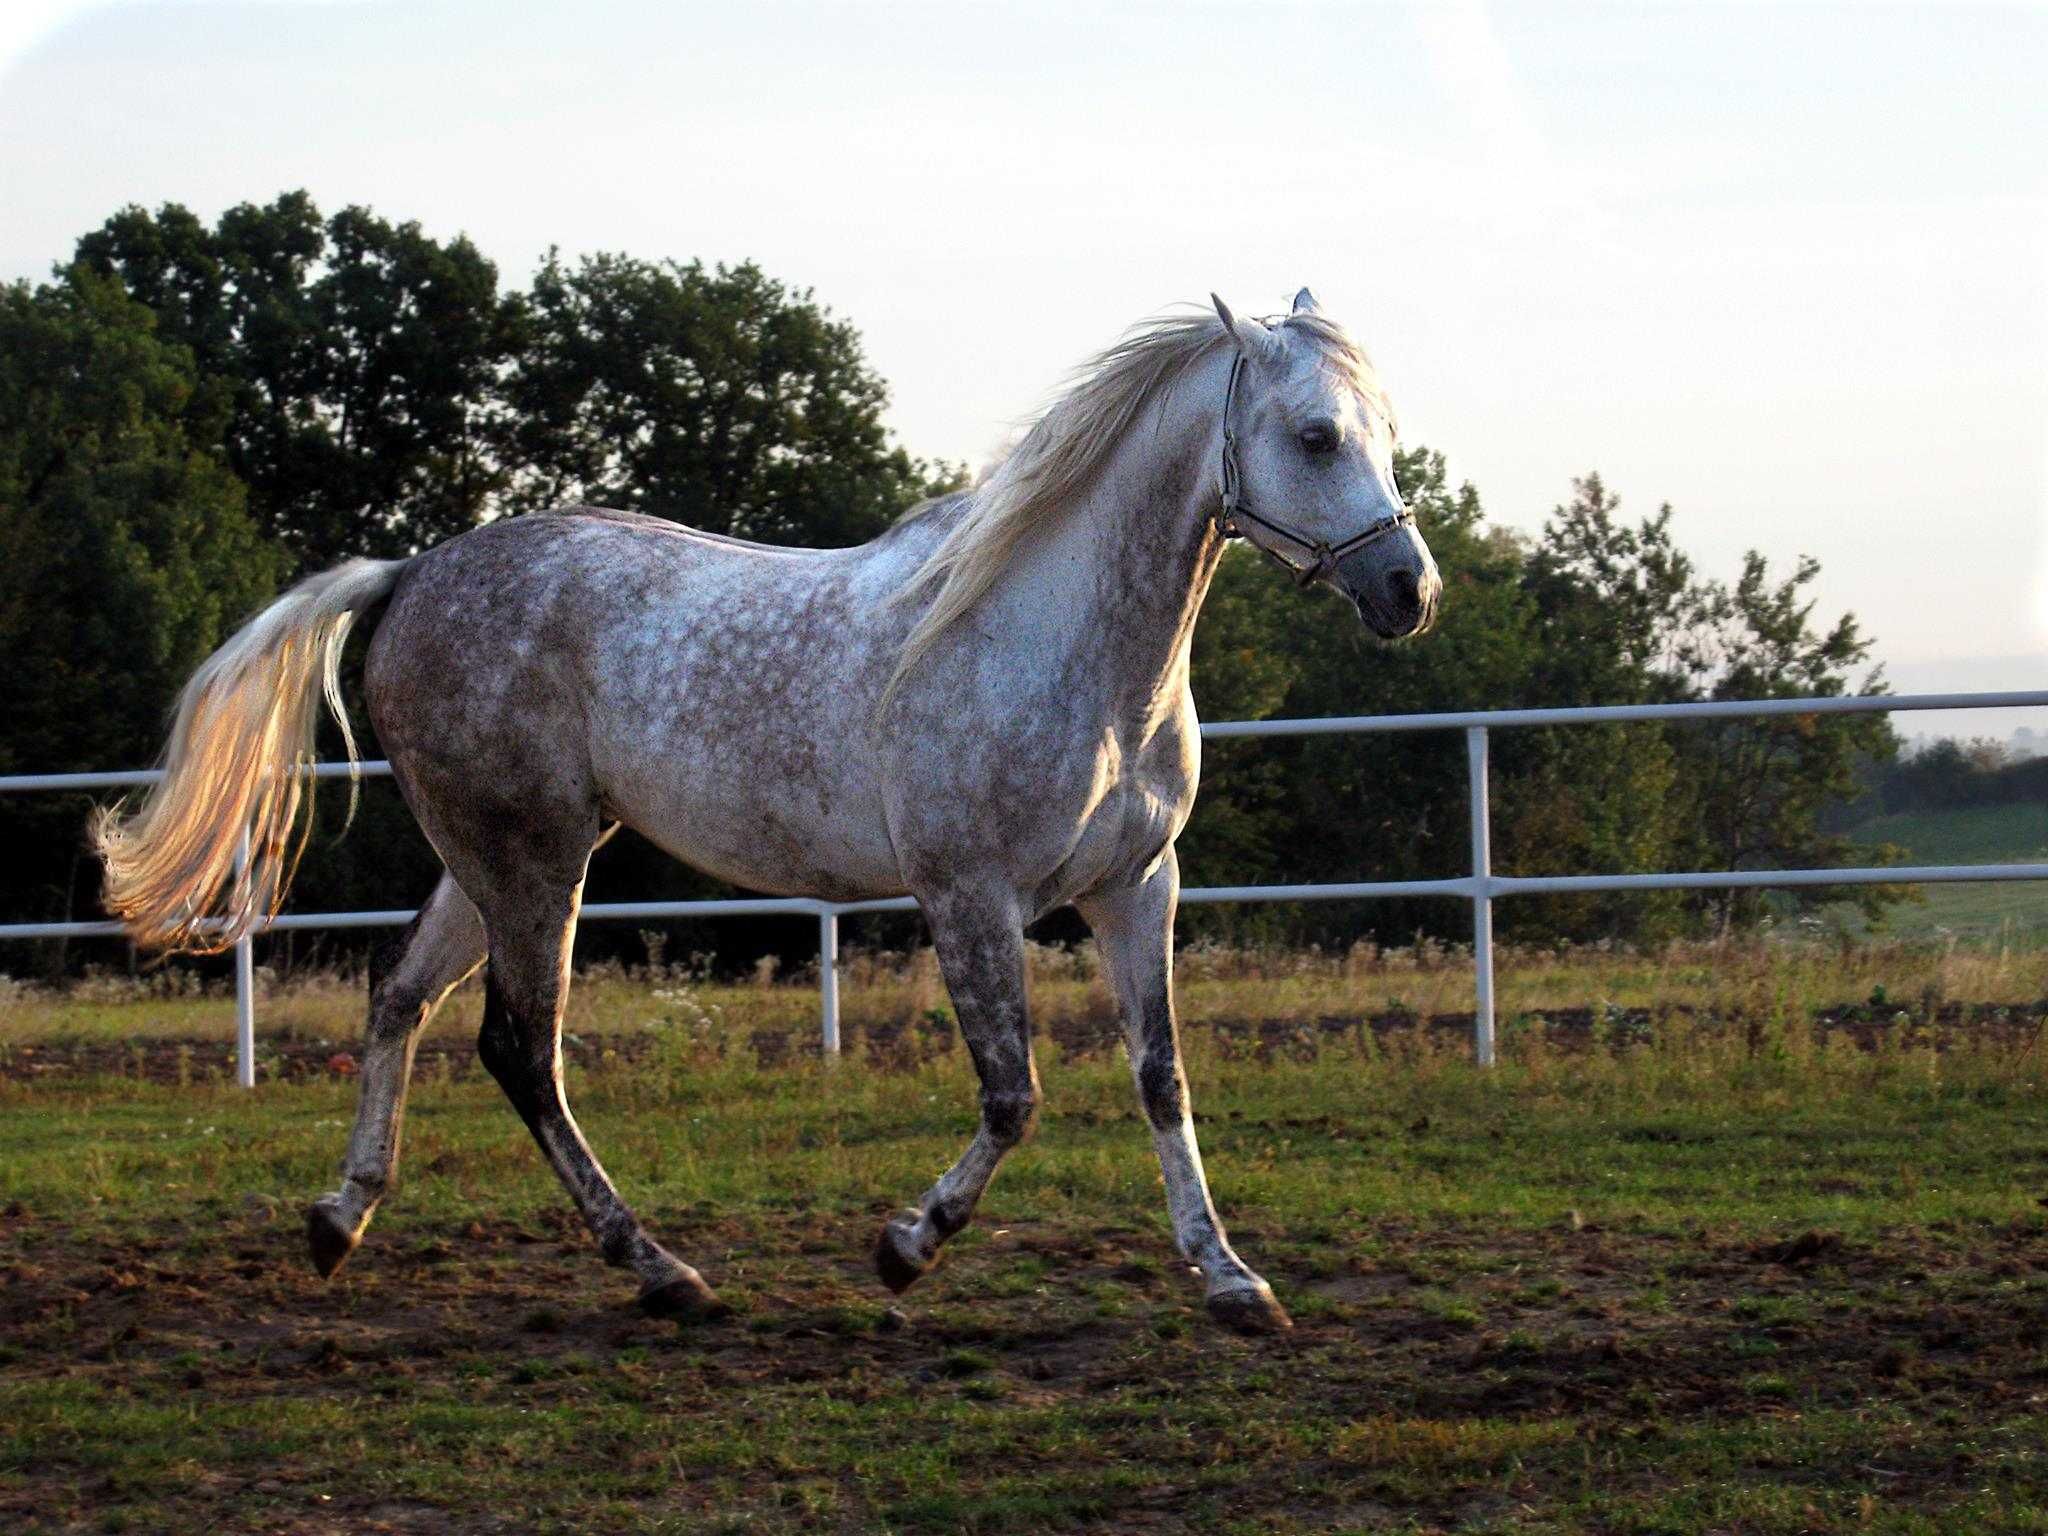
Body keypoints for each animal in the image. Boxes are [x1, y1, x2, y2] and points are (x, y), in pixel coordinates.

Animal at [96, 288, 1441, 1335]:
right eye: (1314, 436)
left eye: (1386, 433)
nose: (1407, 591)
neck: (1057, 643)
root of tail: (411, 573)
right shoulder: (968, 895)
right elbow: (1013, 1095)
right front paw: (903, 1249)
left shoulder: (1135, 887)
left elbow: (1161, 1077)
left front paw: (1230, 1281)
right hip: (532, 862)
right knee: (519, 1050)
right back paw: (659, 1272)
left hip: (494, 858)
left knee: (399, 1001)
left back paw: (339, 1222)